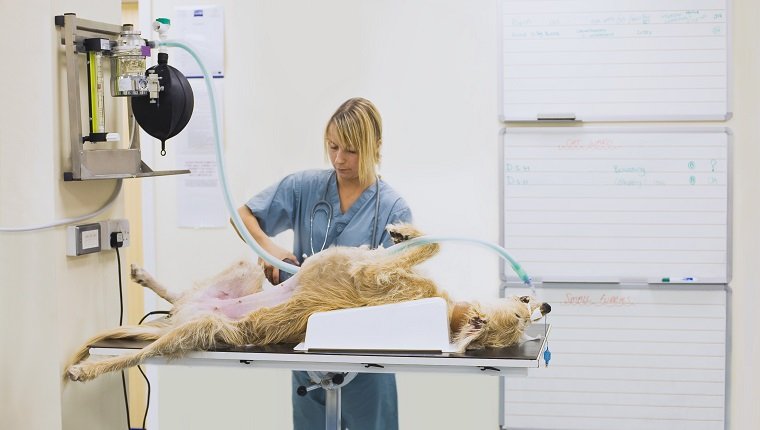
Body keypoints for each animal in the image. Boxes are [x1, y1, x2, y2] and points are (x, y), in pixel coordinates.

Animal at [65, 223, 548, 382]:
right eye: (522, 311)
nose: (544, 308)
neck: (444, 310)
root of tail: (181, 317)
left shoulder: (370, 275)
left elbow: (428, 249)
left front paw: (404, 234)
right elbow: (426, 244)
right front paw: (402, 231)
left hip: (195, 331)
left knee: (139, 353)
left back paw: (86, 370)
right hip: (244, 267)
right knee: (178, 294)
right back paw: (144, 276)